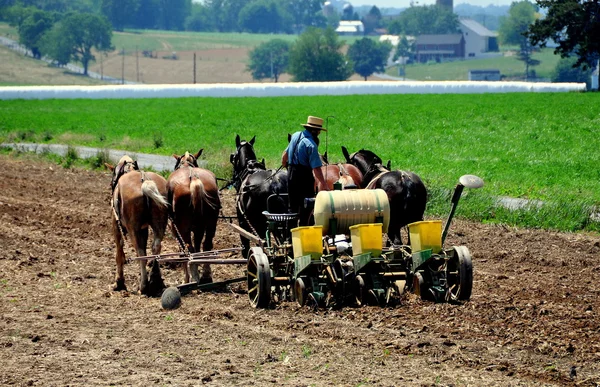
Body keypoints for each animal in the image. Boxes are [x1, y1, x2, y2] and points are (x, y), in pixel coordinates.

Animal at [106, 156, 169, 296]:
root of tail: (145, 181)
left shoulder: (116, 225)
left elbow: (119, 253)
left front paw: (119, 283)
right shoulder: (144, 228)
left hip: (132, 228)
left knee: (140, 253)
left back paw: (143, 286)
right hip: (159, 223)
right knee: (156, 247)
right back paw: (155, 281)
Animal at [166, 150, 220, 284]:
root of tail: (194, 178)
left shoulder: (175, 229)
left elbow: (183, 250)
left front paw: (186, 278)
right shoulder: (198, 229)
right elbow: (198, 246)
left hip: (182, 227)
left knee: (188, 249)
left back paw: (193, 278)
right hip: (211, 222)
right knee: (207, 245)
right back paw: (206, 276)